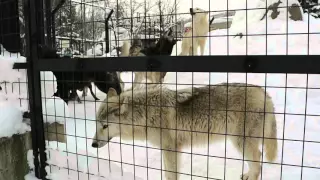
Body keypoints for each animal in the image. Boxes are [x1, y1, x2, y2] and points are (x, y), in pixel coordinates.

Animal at [92, 83, 278, 180]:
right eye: (97, 124)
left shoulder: (171, 149)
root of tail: (264, 92)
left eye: (105, 126)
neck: (145, 113)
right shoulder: (167, 149)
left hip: (241, 141)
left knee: (258, 159)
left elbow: (171, 175)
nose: (93, 144)